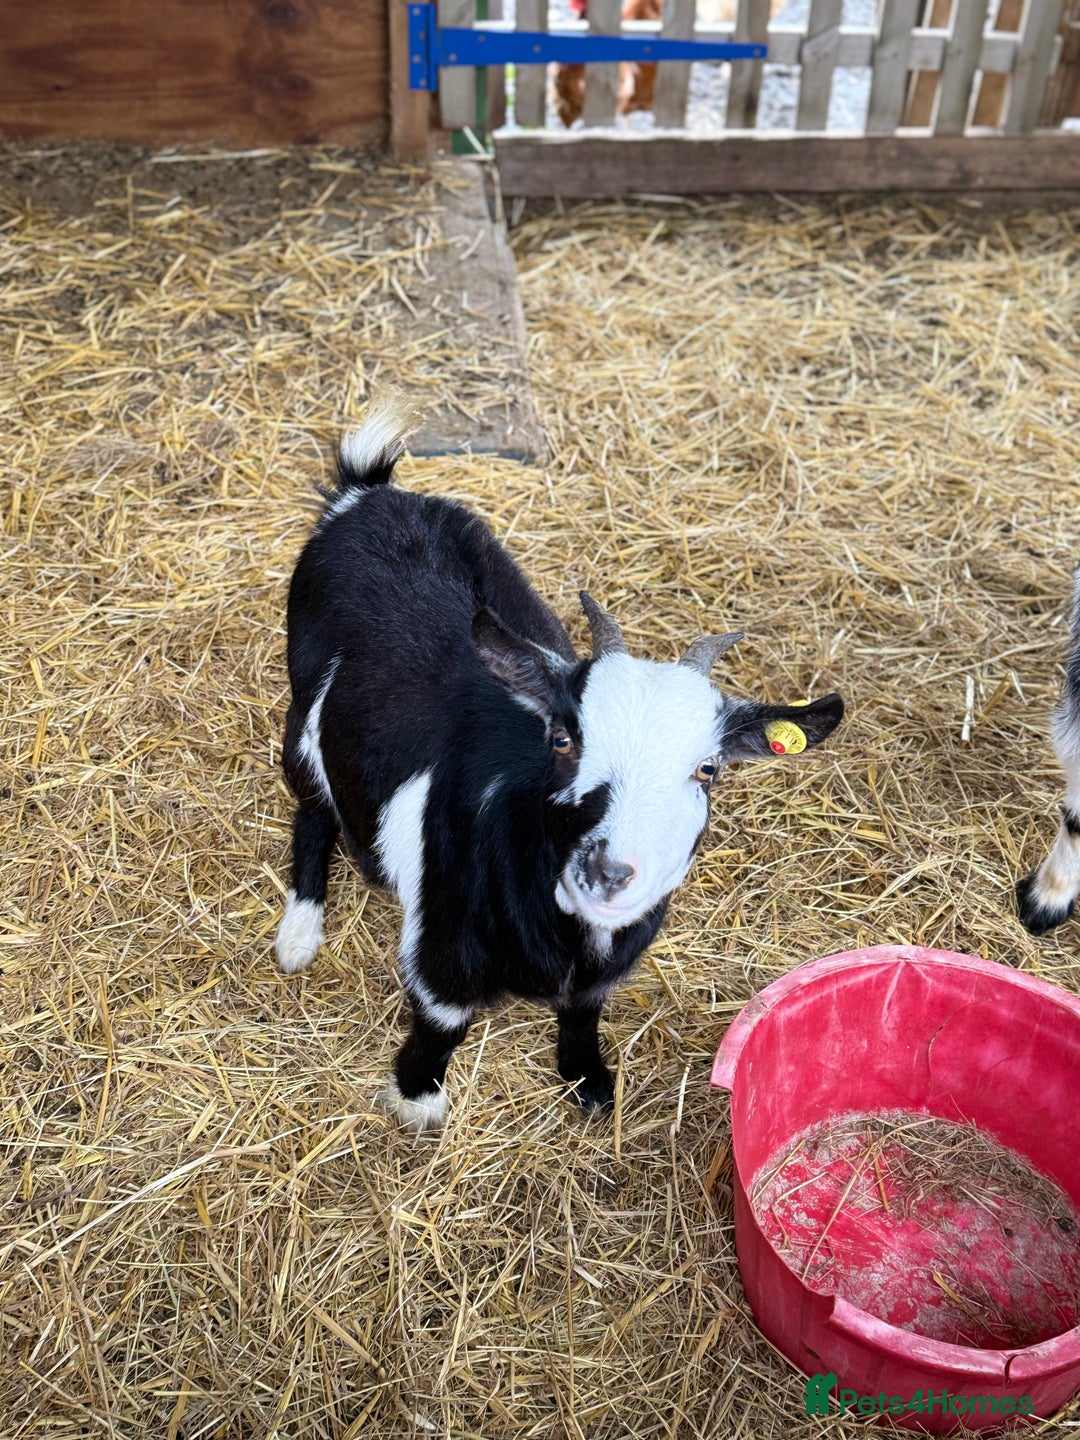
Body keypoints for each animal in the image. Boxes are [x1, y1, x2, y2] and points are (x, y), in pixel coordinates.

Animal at [275, 389, 844, 1130]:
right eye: (564, 739)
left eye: (708, 768)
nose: (609, 872)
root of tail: (367, 496)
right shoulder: (443, 956)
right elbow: (442, 1025)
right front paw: (418, 1100)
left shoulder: (600, 972)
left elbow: (583, 1011)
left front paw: (590, 1083)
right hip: (302, 713)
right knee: (312, 809)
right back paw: (298, 935)